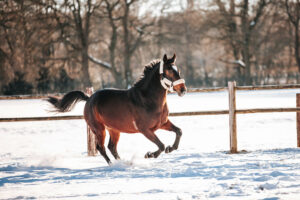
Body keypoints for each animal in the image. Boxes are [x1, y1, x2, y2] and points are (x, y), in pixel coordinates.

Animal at [47, 54, 186, 165]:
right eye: (168, 71)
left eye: (178, 70)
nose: (183, 90)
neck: (148, 99)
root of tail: (89, 98)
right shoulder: (145, 129)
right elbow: (161, 145)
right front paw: (149, 155)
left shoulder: (162, 123)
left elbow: (179, 131)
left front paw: (170, 148)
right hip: (99, 129)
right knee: (101, 147)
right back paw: (112, 164)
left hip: (114, 129)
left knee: (111, 147)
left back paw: (122, 162)